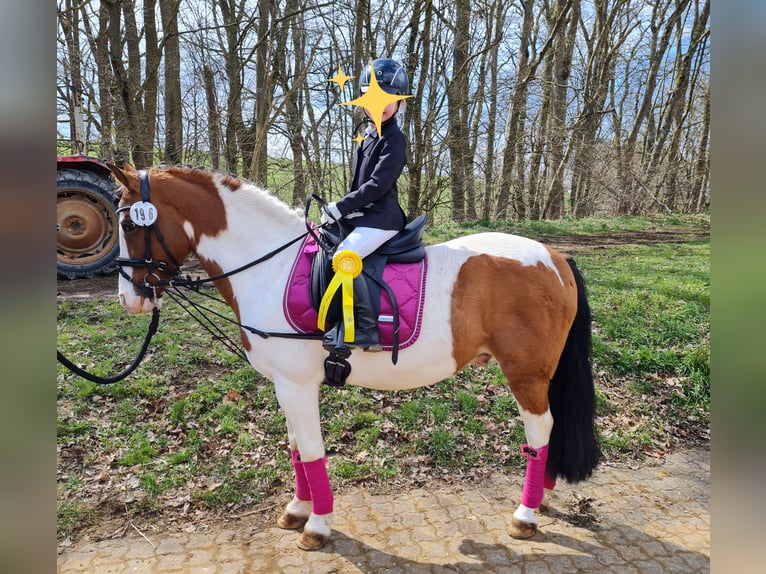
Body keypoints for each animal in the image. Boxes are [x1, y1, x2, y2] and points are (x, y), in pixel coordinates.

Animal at [111, 164, 604, 552]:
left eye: (131, 226)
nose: (128, 299)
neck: (270, 269)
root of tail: (556, 258)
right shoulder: (285, 386)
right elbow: (296, 450)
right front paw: (297, 510)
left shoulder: (297, 385)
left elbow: (312, 452)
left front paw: (316, 526)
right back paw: (543, 496)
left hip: (525, 373)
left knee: (540, 431)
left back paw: (526, 514)